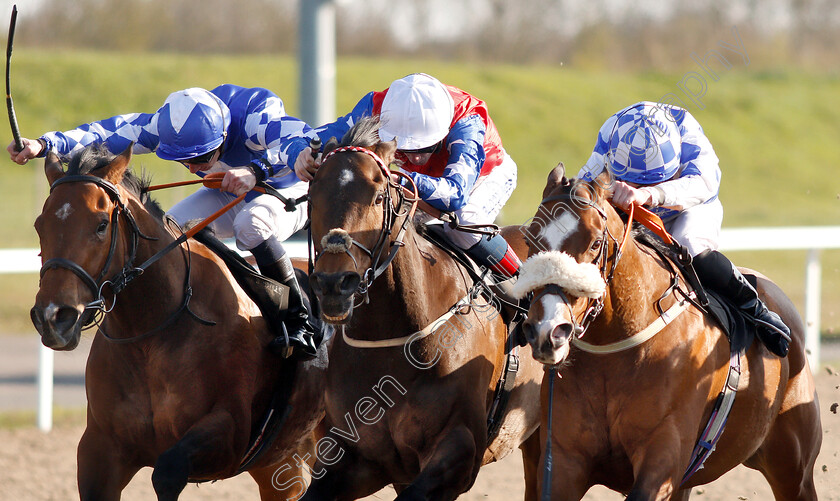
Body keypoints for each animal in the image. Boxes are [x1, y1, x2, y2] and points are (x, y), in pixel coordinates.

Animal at [29, 143, 326, 498]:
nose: (53, 317)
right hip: (282, 465)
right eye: (39, 225)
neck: (149, 337)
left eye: (101, 225)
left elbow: (167, 472)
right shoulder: (99, 451)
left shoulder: (228, 432)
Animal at [516, 162, 824, 498]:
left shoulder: (663, 458)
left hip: (793, 467)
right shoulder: (564, 460)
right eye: (530, 240)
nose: (548, 330)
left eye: (596, 242)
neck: (615, 351)